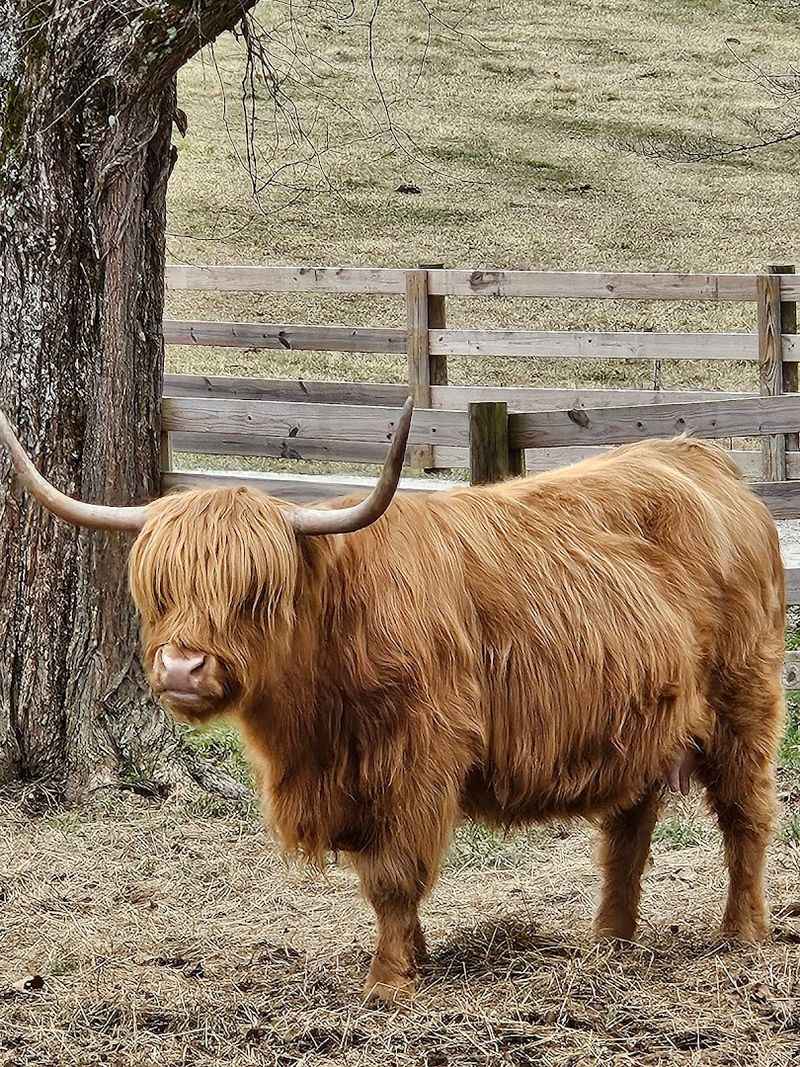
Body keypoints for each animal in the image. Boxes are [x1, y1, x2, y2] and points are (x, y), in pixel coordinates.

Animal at [0, 402, 785, 1001]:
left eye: (256, 592)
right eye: (158, 589)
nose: (183, 667)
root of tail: (704, 462)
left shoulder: (415, 761)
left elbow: (393, 874)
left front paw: (390, 979)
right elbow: (378, 877)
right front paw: (418, 955)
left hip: (745, 702)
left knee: (745, 816)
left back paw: (741, 933)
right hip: (643, 721)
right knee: (628, 829)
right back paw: (610, 940)